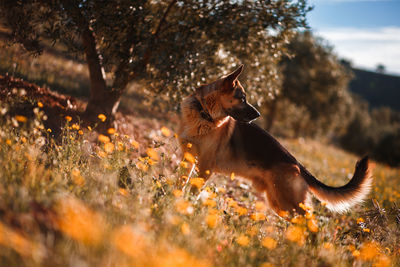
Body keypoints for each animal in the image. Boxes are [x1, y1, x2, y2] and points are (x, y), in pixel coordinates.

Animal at [178, 65, 372, 218]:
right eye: (242, 98)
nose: (258, 114)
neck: (203, 114)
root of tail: (298, 165)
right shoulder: (188, 160)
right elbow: (182, 183)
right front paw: (176, 200)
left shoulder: (205, 167)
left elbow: (193, 191)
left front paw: (186, 208)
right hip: (279, 204)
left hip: (287, 202)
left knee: (311, 223)